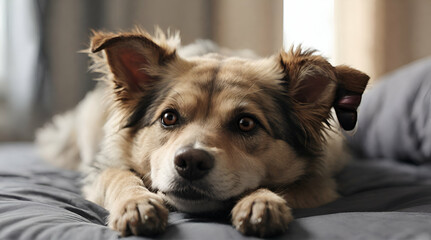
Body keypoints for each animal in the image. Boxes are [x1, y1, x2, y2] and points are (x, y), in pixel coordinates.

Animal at [35, 27, 370, 236]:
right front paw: (137, 204)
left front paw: (260, 201)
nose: (191, 162)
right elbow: (119, 176)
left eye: (246, 123)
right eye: (168, 117)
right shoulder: (101, 167)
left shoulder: (321, 184)